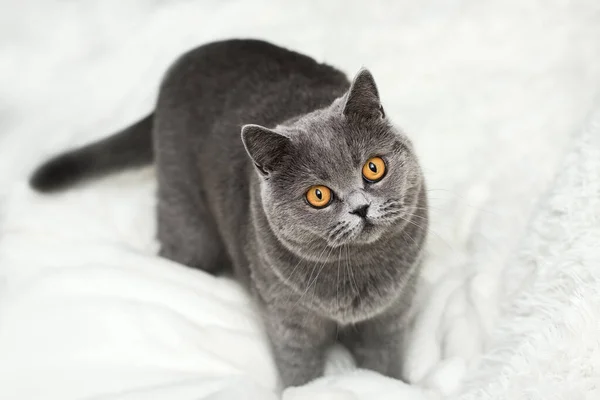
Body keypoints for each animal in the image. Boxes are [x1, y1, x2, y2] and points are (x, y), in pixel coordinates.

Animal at [31, 39, 426, 388]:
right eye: (318, 195)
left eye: (373, 168)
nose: (360, 207)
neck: (358, 272)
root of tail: (186, 61)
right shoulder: (287, 321)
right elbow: (300, 370)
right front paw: (307, 389)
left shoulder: (391, 315)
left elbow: (383, 364)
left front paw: (393, 385)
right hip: (189, 226)